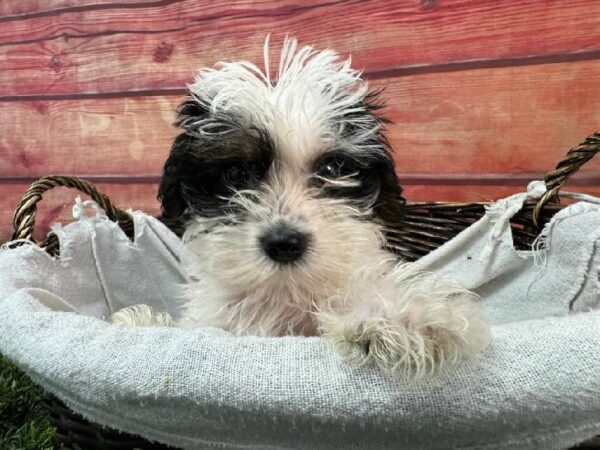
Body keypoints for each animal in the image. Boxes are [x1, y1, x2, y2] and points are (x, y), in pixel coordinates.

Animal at [111, 37, 488, 376]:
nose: (284, 243)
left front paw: (400, 317)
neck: (284, 295)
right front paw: (138, 325)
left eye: (332, 169)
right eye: (235, 174)